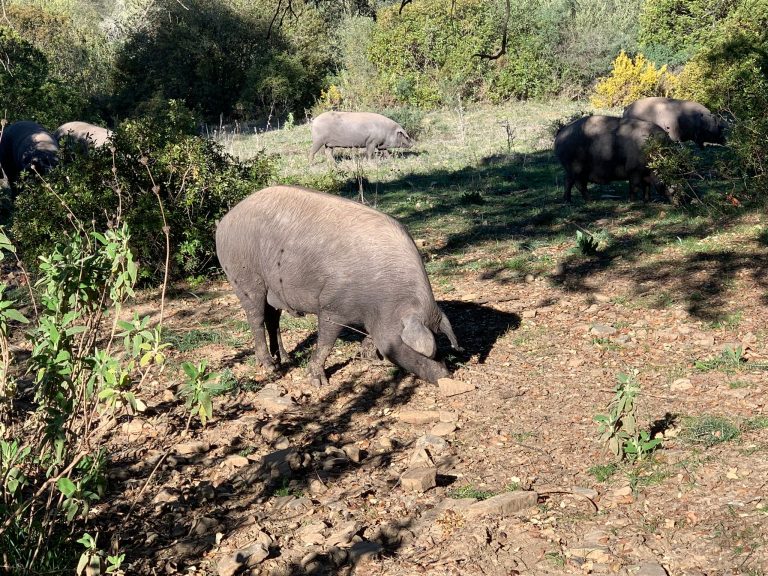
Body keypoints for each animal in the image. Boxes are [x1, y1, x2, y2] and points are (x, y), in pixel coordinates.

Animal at [216, 185, 462, 385]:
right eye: (425, 350)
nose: (446, 377)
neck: (384, 300)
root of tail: (225, 221)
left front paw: (369, 355)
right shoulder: (331, 306)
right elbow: (326, 342)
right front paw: (319, 382)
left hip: (273, 290)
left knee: (272, 320)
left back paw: (285, 358)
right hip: (244, 279)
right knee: (256, 319)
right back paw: (271, 367)